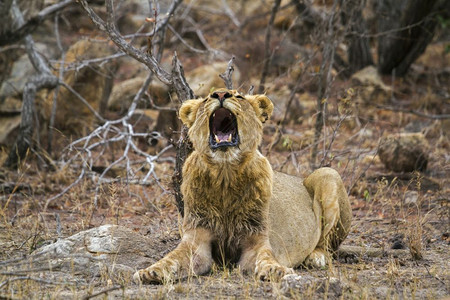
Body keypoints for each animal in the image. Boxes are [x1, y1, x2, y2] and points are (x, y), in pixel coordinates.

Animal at [134, 88, 352, 284]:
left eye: (239, 96)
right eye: (206, 99)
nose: (221, 94)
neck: (225, 174)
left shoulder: (256, 239)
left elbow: (265, 258)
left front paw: (276, 271)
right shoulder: (197, 238)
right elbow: (172, 259)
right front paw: (151, 272)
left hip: (328, 174)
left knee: (327, 243)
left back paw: (315, 257)